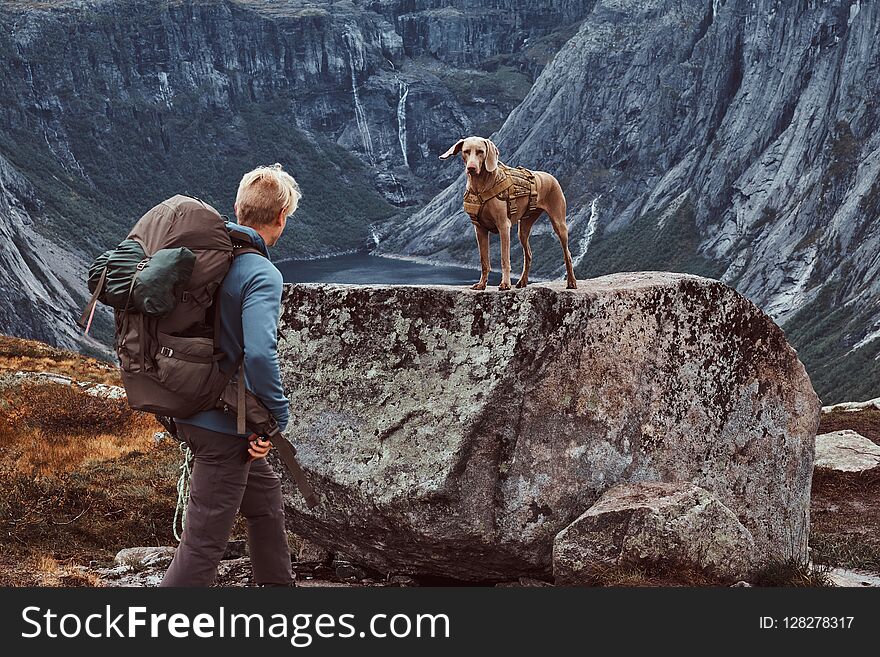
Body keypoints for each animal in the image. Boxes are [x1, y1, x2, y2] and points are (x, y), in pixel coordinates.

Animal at [440, 136, 576, 290]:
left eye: (481, 152)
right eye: (466, 151)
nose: (471, 168)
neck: (481, 186)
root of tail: (550, 176)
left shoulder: (504, 226)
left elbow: (504, 258)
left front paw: (505, 283)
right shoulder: (480, 229)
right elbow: (484, 260)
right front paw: (482, 284)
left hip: (559, 223)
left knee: (567, 254)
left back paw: (571, 282)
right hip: (523, 228)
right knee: (528, 254)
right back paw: (522, 281)